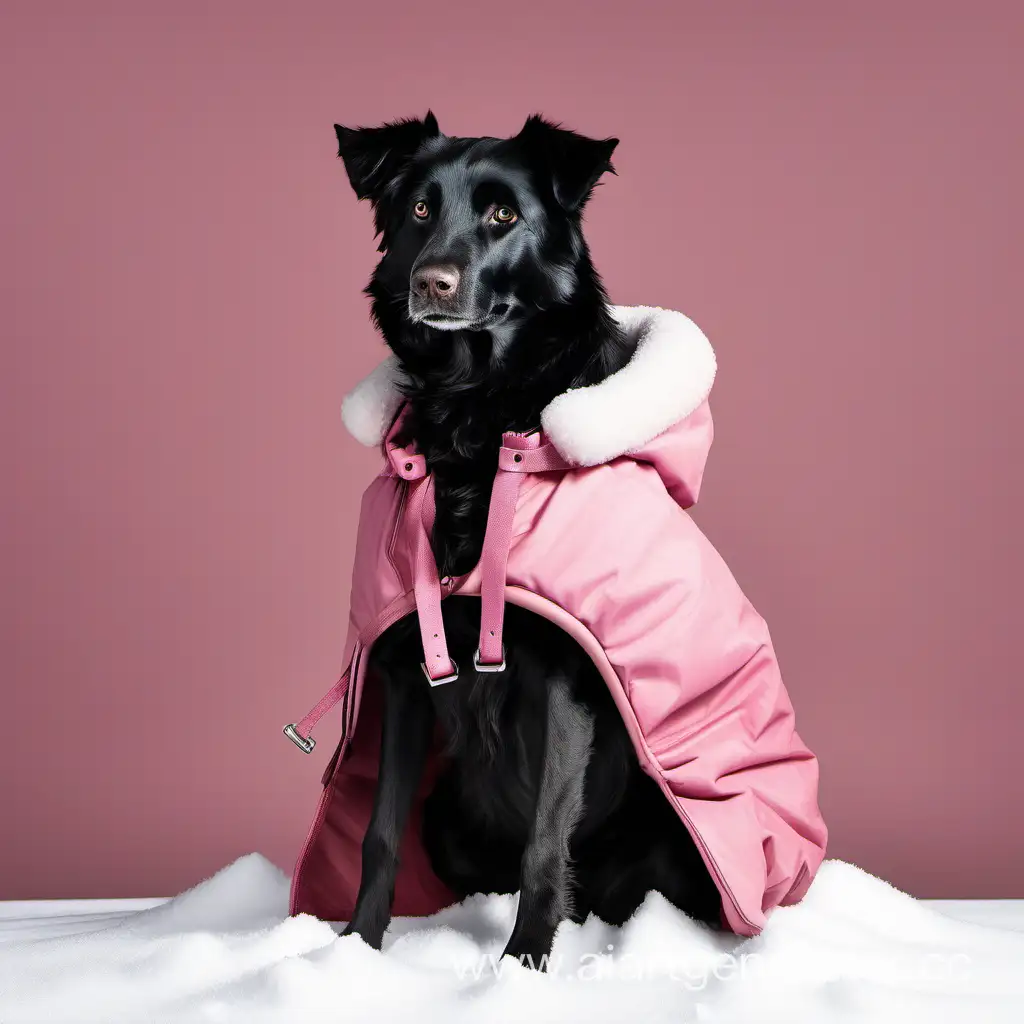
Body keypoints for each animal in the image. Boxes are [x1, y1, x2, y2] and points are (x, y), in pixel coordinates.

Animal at [331, 114, 716, 966]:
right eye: (419, 209)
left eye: (504, 215)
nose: (431, 282)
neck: (474, 411)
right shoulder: (405, 671)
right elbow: (378, 834)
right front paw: (355, 947)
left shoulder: (569, 678)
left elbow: (546, 839)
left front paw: (521, 964)